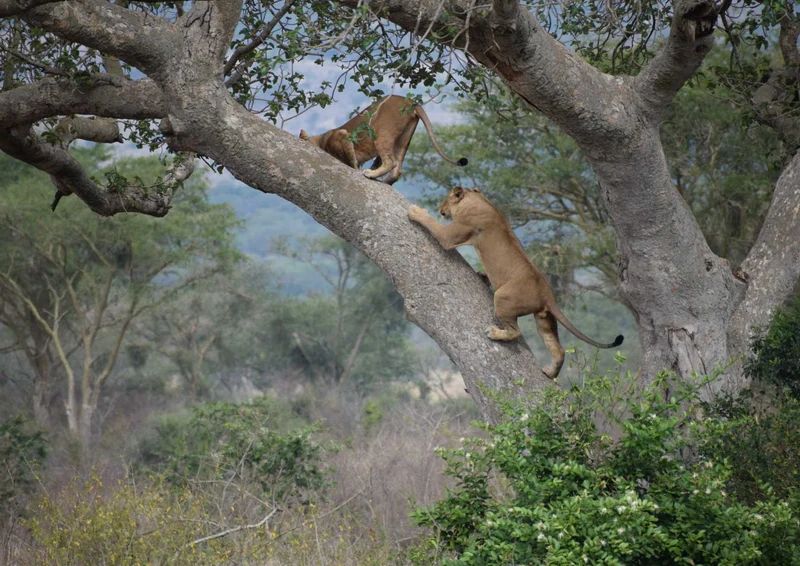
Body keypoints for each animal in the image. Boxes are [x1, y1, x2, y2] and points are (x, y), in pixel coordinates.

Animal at [299, 95, 468, 185]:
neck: (321, 139)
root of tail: (410, 101)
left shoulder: (342, 135)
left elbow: (351, 161)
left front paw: (357, 169)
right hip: (403, 138)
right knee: (397, 168)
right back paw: (385, 180)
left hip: (381, 133)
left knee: (391, 162)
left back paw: (371, 174)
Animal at [408, 186, 623, 378]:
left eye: (445, 200)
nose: (441, 209)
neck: (478, 200)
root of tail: (547, 293)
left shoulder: (452, 235)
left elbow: (432, 223)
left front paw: (415, 211)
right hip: (544, 320)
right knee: (558, 349)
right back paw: (550, 372)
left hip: (503, 298)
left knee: (516, 332)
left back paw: (495, 333)